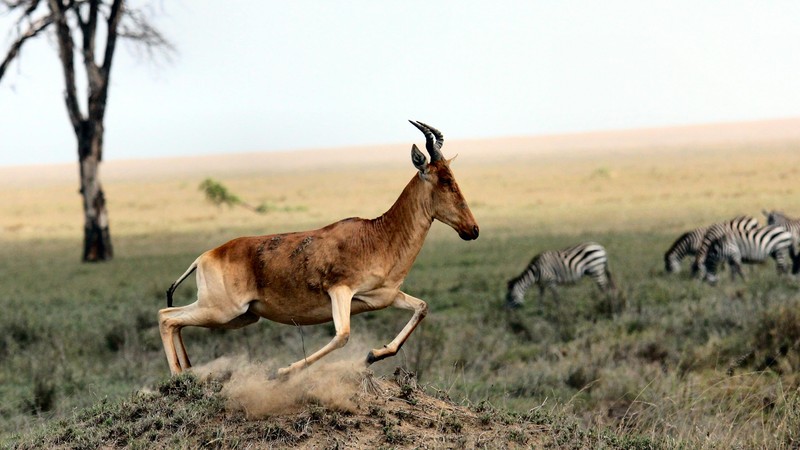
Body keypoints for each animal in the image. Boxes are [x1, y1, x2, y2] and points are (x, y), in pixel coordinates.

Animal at [159, 119, 478, 376]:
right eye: (445, 180)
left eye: (453, 177)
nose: (472, 230)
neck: (377, 235)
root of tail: (205, 256)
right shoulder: (340, 291)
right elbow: (342, 335)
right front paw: (283, 371)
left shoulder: (383, 297)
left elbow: (422, 308)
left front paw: (373, 355)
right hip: (222, 310)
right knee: (166, 316)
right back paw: (178, 377)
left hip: (241, 316)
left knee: (176, 321)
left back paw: (188, 372)